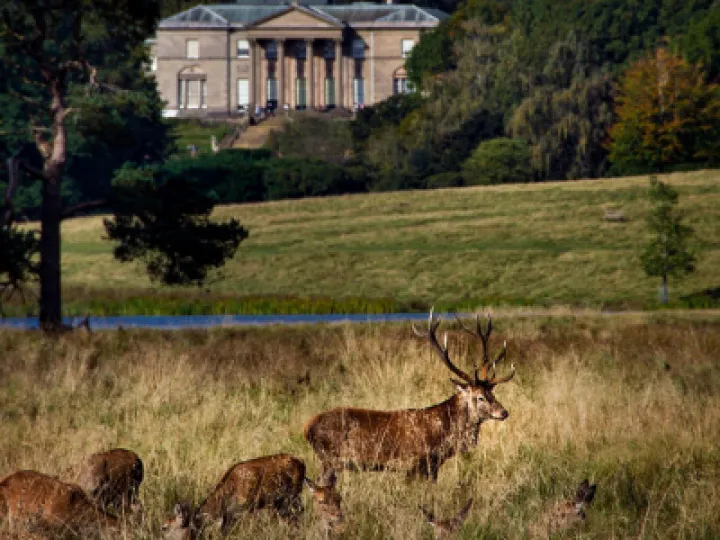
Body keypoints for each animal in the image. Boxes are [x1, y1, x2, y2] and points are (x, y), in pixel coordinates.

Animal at [304, 308, 515, 481]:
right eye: (480, 396)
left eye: (492, 393)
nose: (504, 412)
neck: (444, 438)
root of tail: (307, 428)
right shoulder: (416, 464)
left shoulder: (432, 467)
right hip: (330, 460)